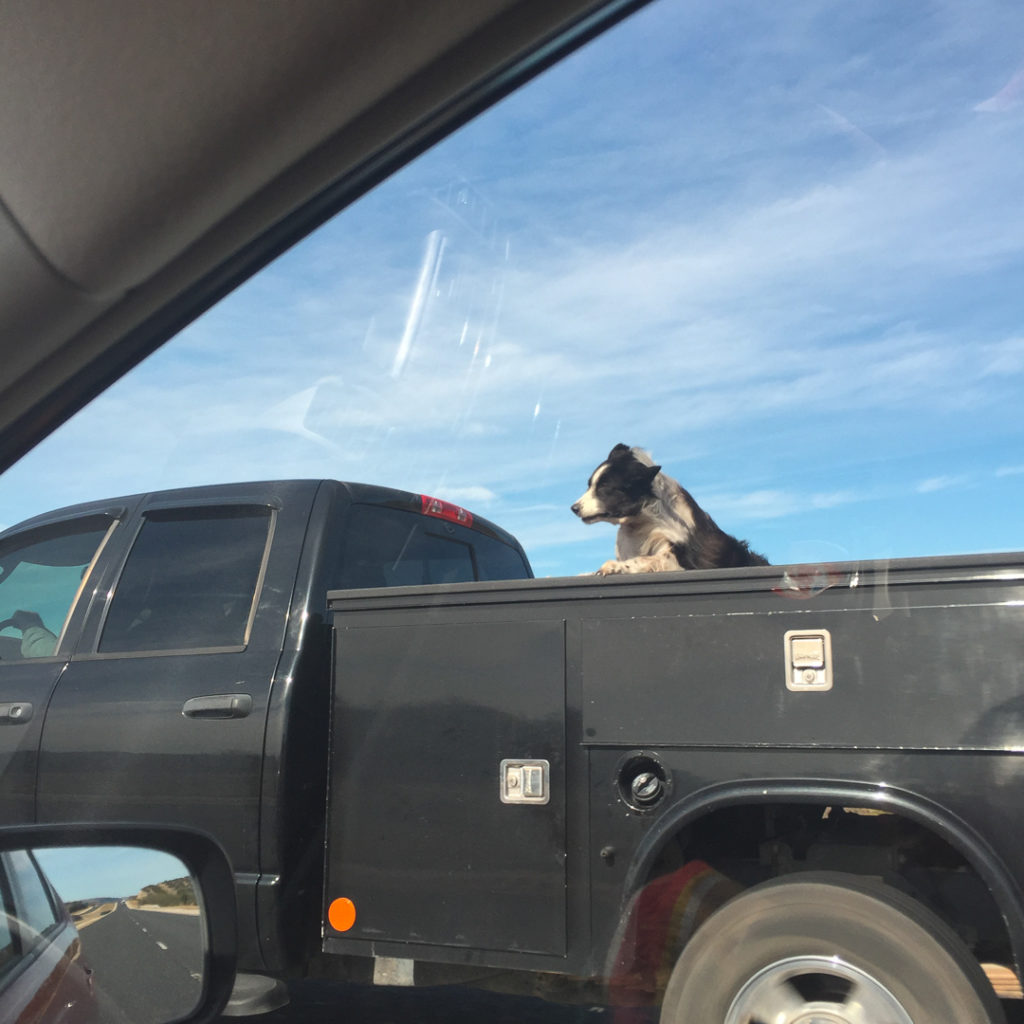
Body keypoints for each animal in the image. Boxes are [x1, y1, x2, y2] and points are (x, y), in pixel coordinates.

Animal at [569, 442, 770, 577]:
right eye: (589, 485)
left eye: (604, 488)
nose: (574, 508)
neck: (640, 522)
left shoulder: (682, 559)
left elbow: (647, 559)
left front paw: (612, 566)